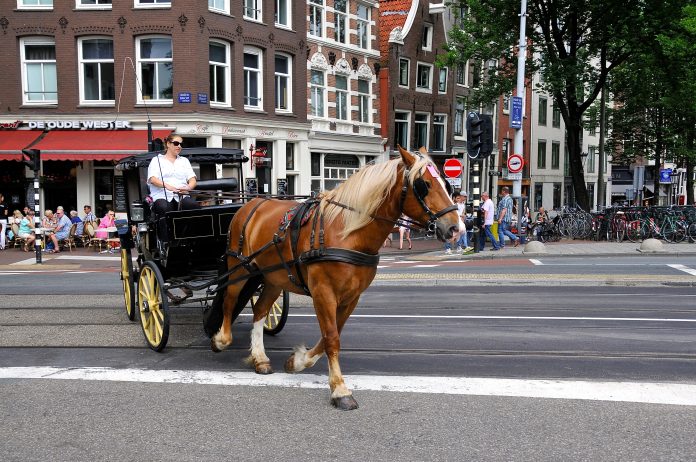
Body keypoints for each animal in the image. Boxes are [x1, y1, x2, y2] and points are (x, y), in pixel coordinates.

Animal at [206, 145, 459, 410]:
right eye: (424, 184)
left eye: (447, 185)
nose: (456, 228)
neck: (348, 233)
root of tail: (251, 203)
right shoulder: (323, 292)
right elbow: (331, 338)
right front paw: (340, 390)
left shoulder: (351, 296)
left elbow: (332, 334)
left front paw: (297, 361)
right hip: (239, 269)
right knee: (229, 301)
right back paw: (221, 340)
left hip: (274, 278)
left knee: (260, 310)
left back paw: (260, 358)